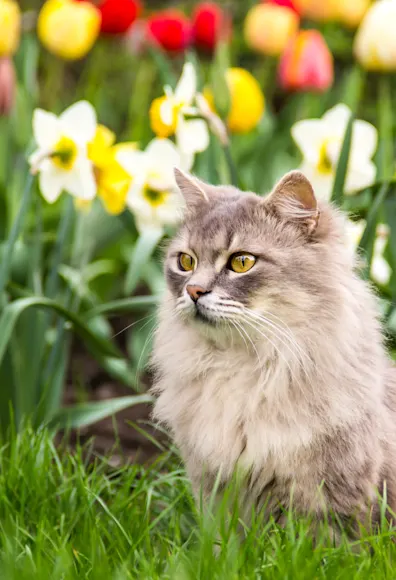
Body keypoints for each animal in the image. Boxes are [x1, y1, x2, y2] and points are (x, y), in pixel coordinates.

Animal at [151, 169, 396, 536]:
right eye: (185, 261)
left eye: (242, 262)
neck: (239, 367)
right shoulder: (214, 490)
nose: (193, 290)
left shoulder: (326, 499)